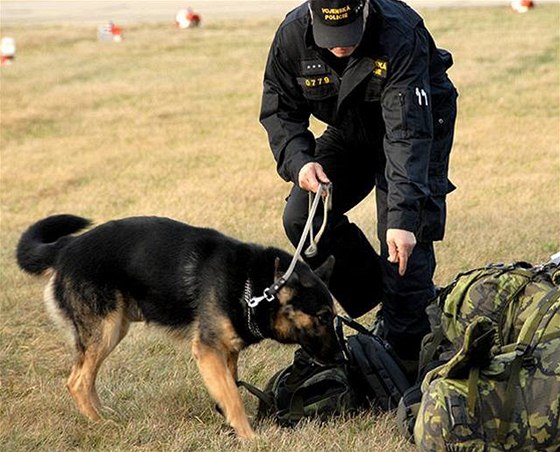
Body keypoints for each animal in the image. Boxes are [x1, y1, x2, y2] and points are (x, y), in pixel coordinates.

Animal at [16, 215, 342, 438]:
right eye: (324, 317)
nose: (340, 358)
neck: (253, 287)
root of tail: (65, 247)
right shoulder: (207, 351)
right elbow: (233, 396)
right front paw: (250, 437)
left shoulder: (226, 352)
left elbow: (229, 388)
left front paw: (230, 425)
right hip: (104, 331)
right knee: (77, 381)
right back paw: (101, 424)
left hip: (114, 330)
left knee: (87, 378)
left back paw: (104, 414)